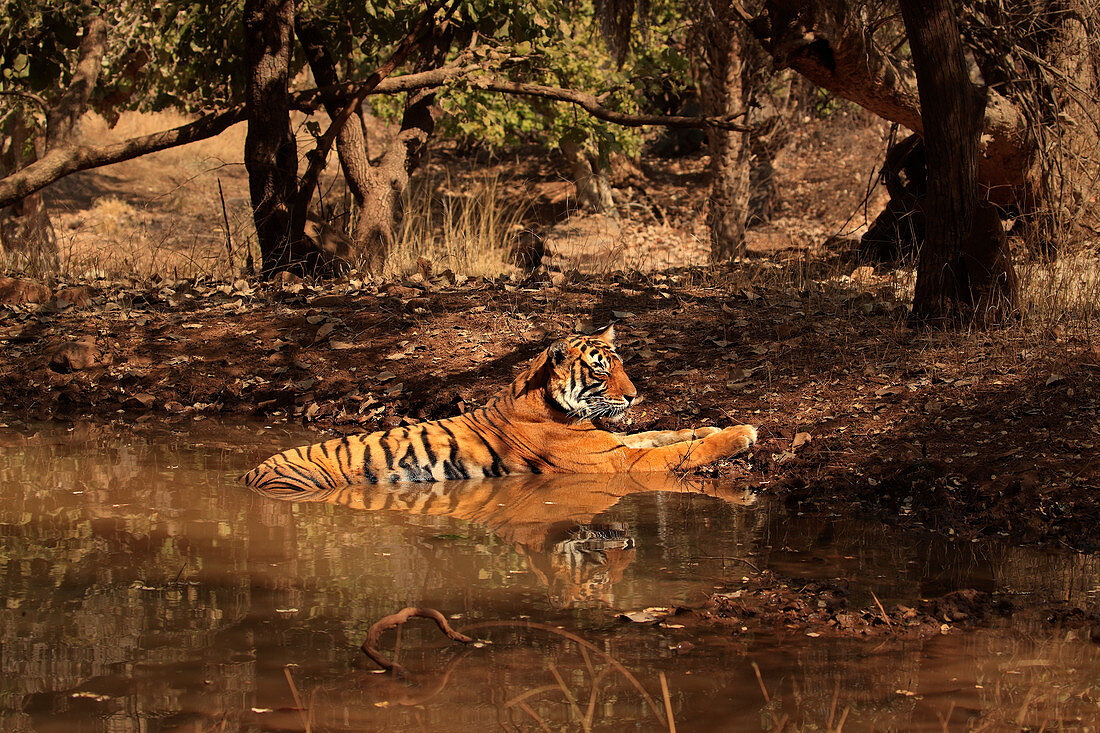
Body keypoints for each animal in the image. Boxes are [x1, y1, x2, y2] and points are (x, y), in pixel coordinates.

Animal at [239, 325, 756, 490]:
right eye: (601, 370)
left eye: (623, 365)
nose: (634, 396)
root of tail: (249, 472)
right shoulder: (614, 463)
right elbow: (672, 453)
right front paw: (741, 433)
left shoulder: (613, 441)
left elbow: (660, 435)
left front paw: (711, 425)